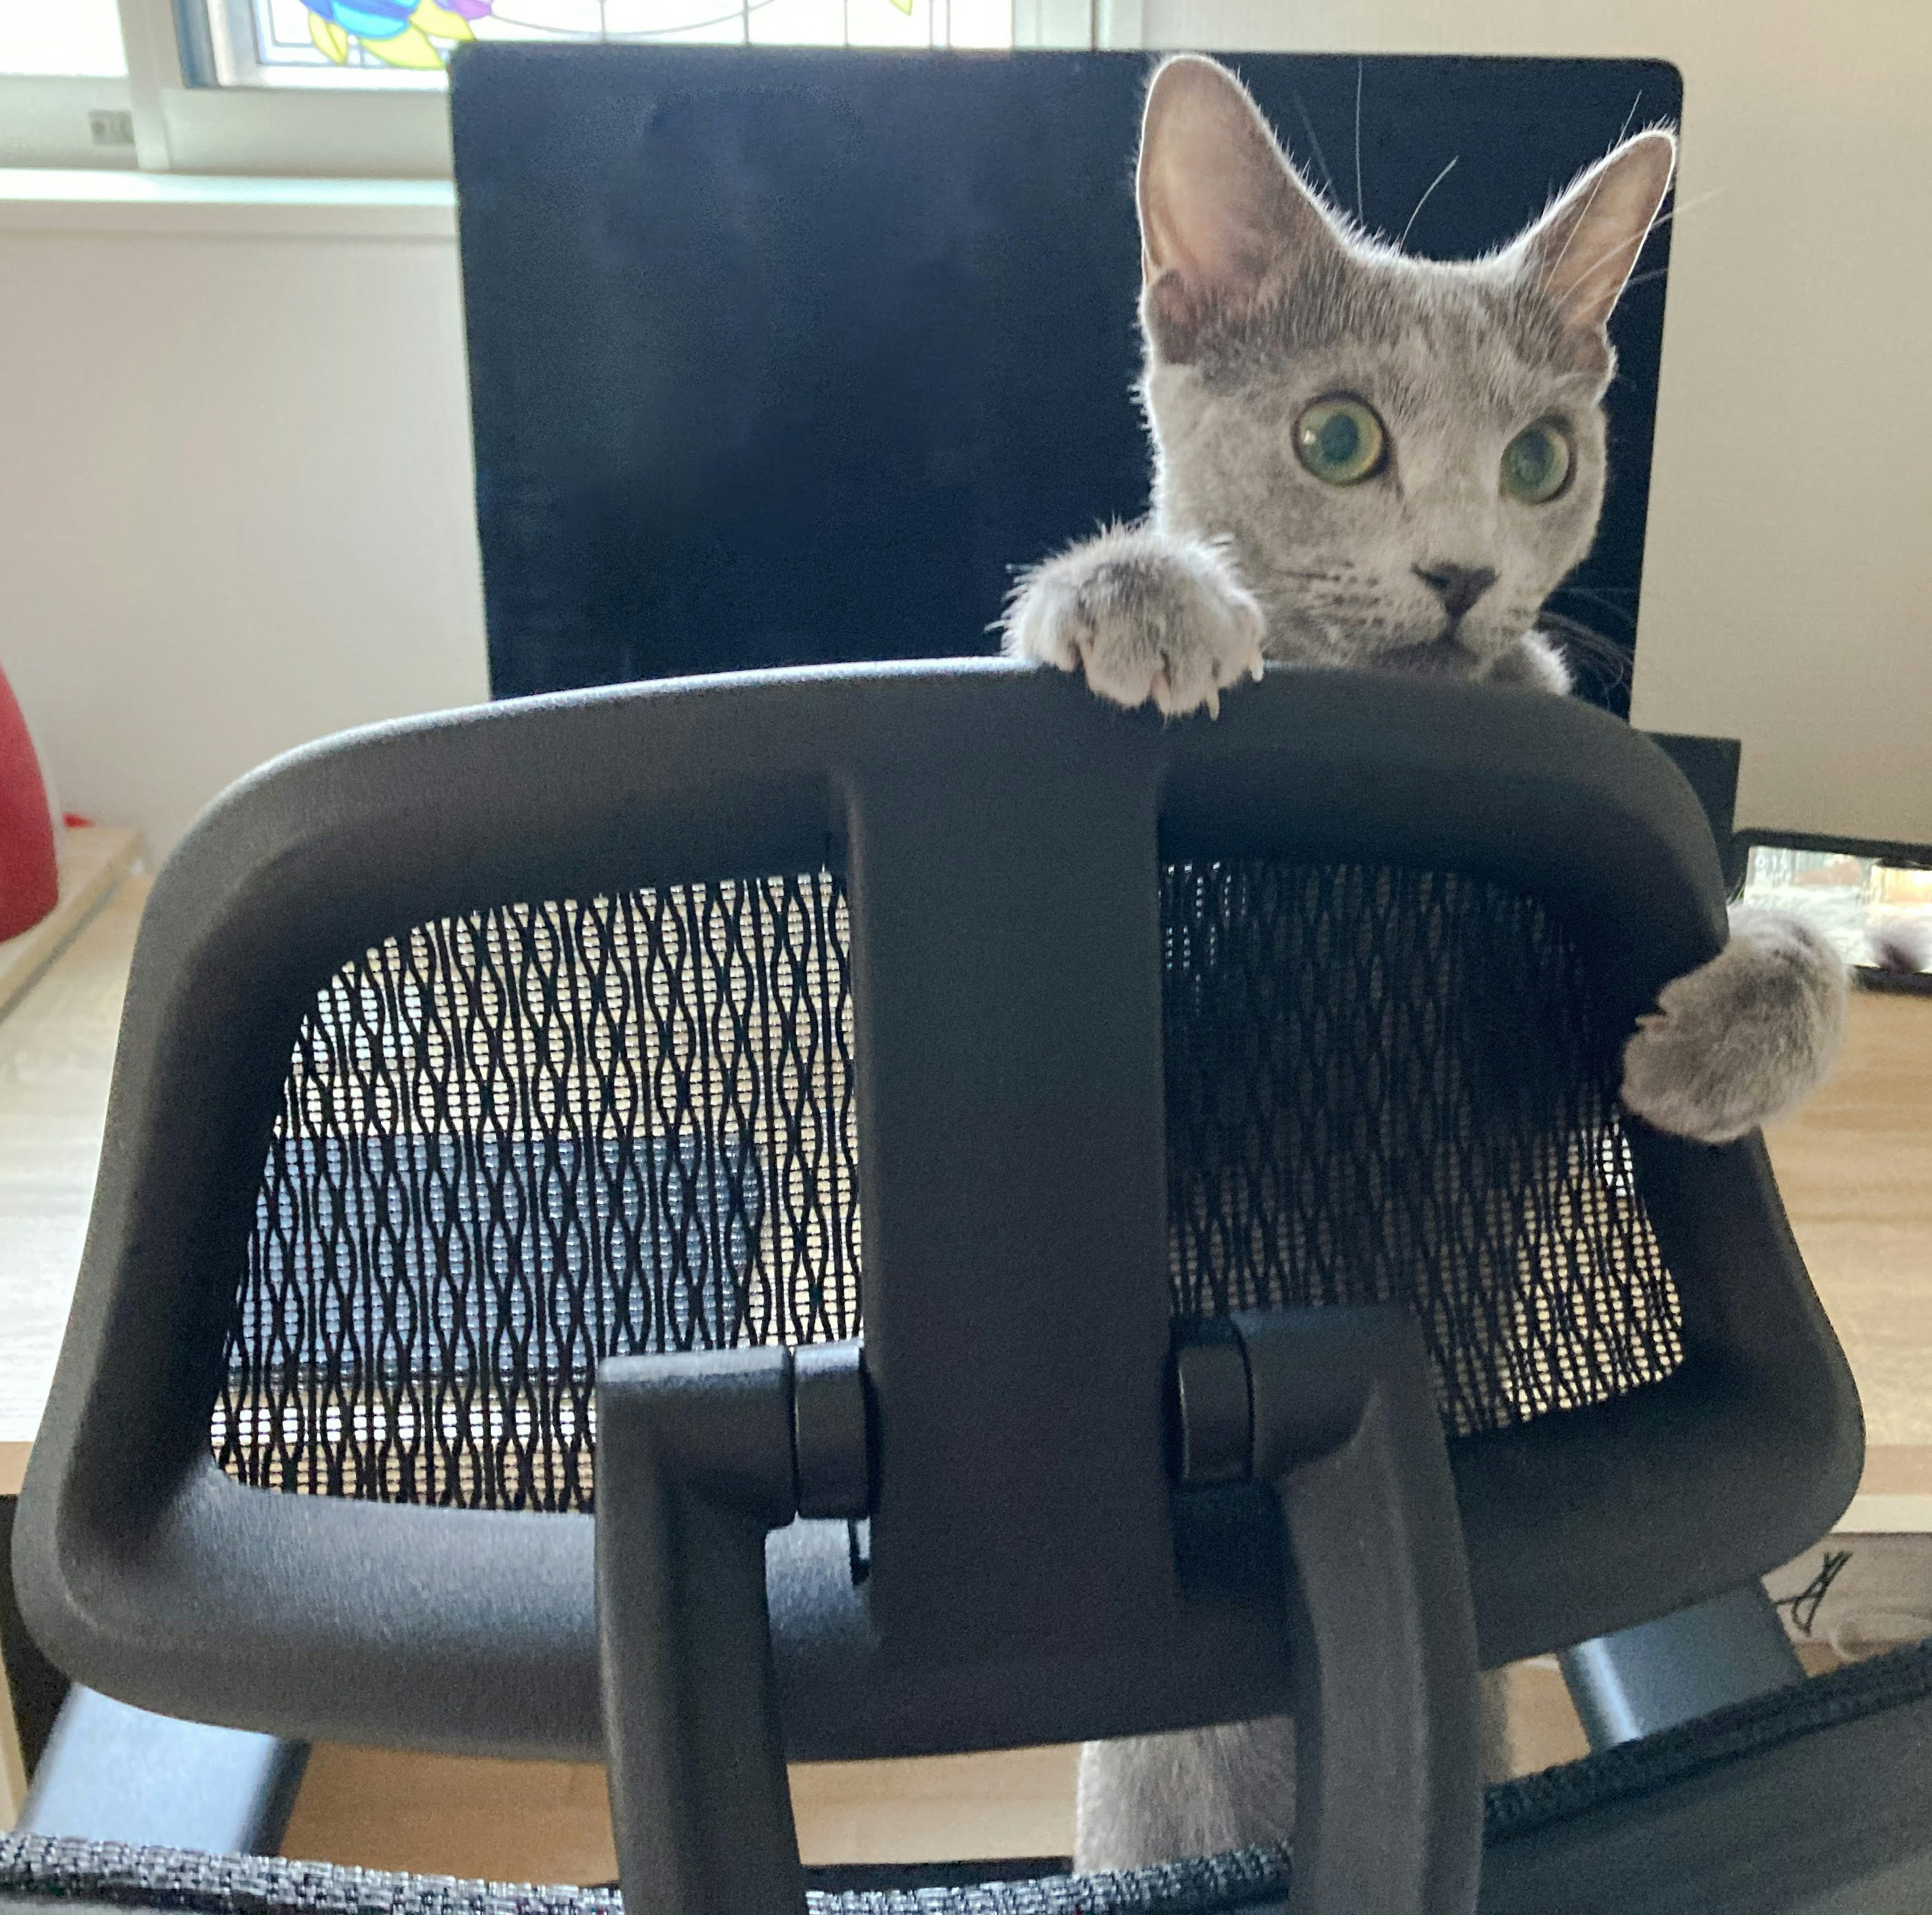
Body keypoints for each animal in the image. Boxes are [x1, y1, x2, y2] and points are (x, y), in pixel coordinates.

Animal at [1004, 56, 1847, 1870]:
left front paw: (1719, 1037)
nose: (1463, 570)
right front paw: (1146, 593)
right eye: (1339, 438)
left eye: (1540, 459)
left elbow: (1781, 935)